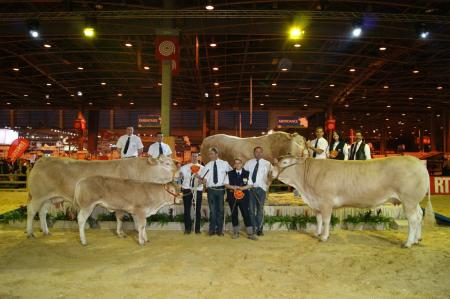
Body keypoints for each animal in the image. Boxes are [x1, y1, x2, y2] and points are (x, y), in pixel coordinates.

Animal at [25, 157, 178, 239]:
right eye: (166, 163)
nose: (179, 171)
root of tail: (41, 160)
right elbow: (123, 217)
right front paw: (125, 232)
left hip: (49, 198)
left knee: (42, 212)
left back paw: (46, 231)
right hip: (38, 196)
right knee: (31, 211)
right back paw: (30, 233)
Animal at [272, 155, 434, 248]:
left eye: (284, 162)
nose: (272, 171)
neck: (306, 188)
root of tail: (418, 162)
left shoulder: (326, 201)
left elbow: (326, 220)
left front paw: (324, 237)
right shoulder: (316, 203)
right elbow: (318, 219)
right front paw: (317, 233)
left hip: (409, 200)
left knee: (413, 220)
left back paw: (408, 243)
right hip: (414, 201)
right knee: (419, 216)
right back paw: (417, 239)